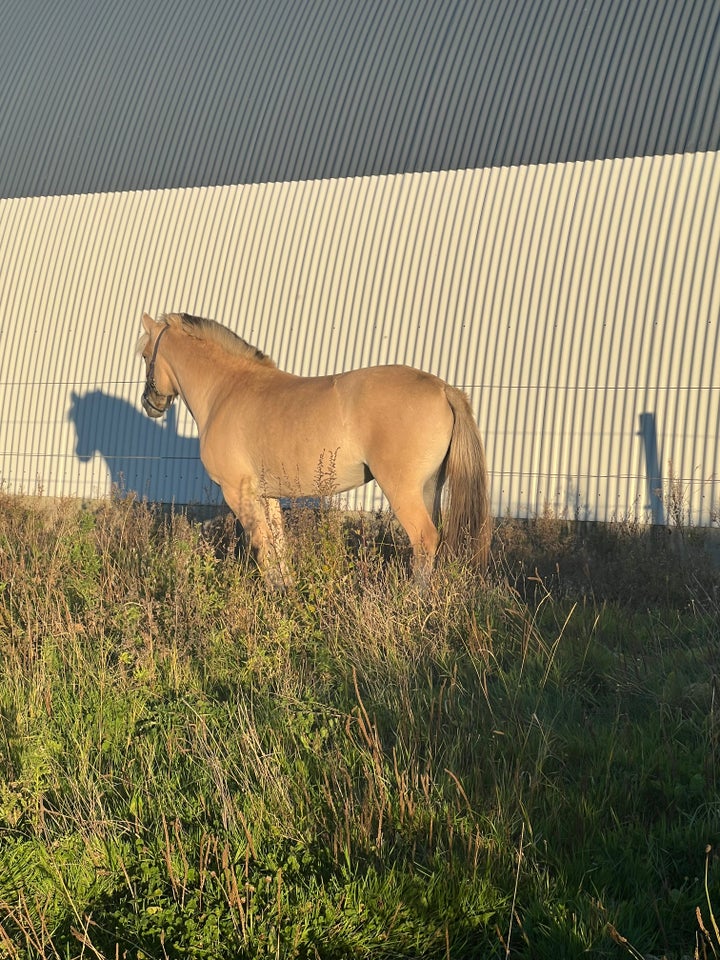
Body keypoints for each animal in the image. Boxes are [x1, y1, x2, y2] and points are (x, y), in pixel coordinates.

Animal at [138, 316, 490, 584]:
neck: (226, 390)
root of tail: (443, 388)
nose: (149, 403)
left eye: (144, 355)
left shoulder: (237, 493)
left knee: (424, 540)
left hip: (402, 491)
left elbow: (261, 544)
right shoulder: (267, 496)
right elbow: (278, 546)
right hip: (429, 487)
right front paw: (286, 592)